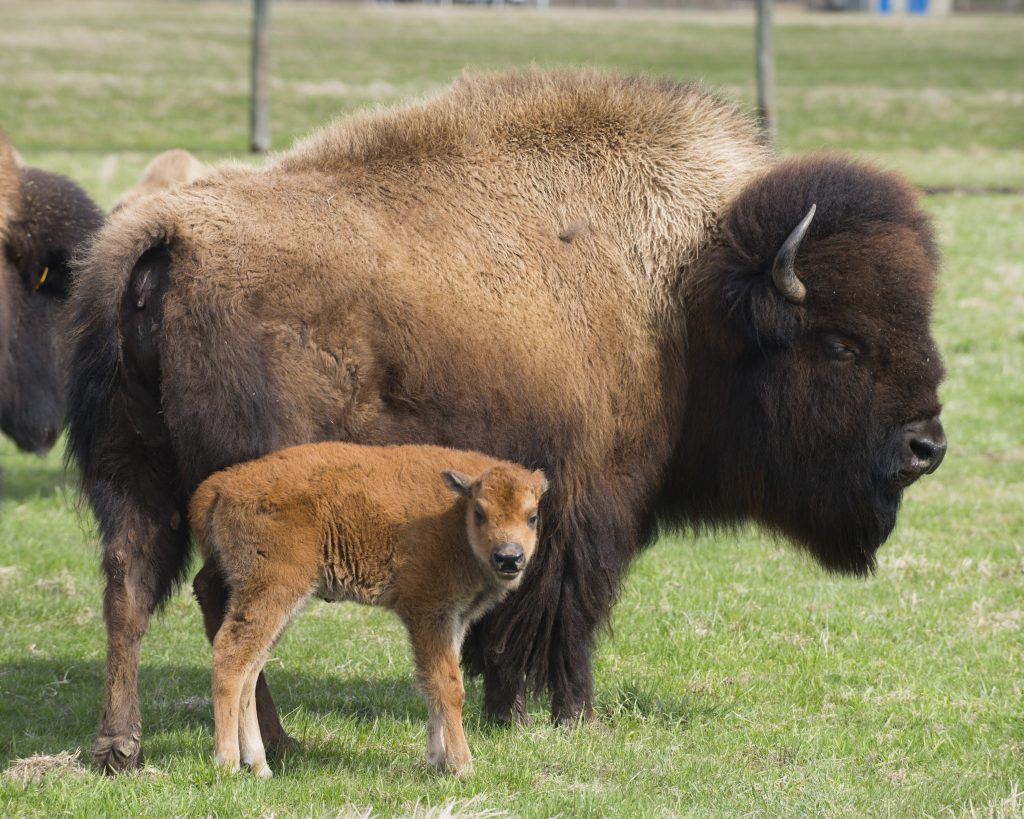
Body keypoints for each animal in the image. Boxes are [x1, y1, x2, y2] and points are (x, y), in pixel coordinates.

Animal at [189, 442, 548, 782]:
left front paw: (436, 762)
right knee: (231, 657)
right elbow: (448, 688)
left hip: (279, 604)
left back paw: (260, 766)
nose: (508, 557)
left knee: (250, 669)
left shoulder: (453, 621)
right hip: (271, 592)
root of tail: (222, 485)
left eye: (532, 516)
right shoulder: (429, 615)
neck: (454, 516)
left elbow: (431, 685)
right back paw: (228, 764)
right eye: (479, 512)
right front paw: (461, 766)